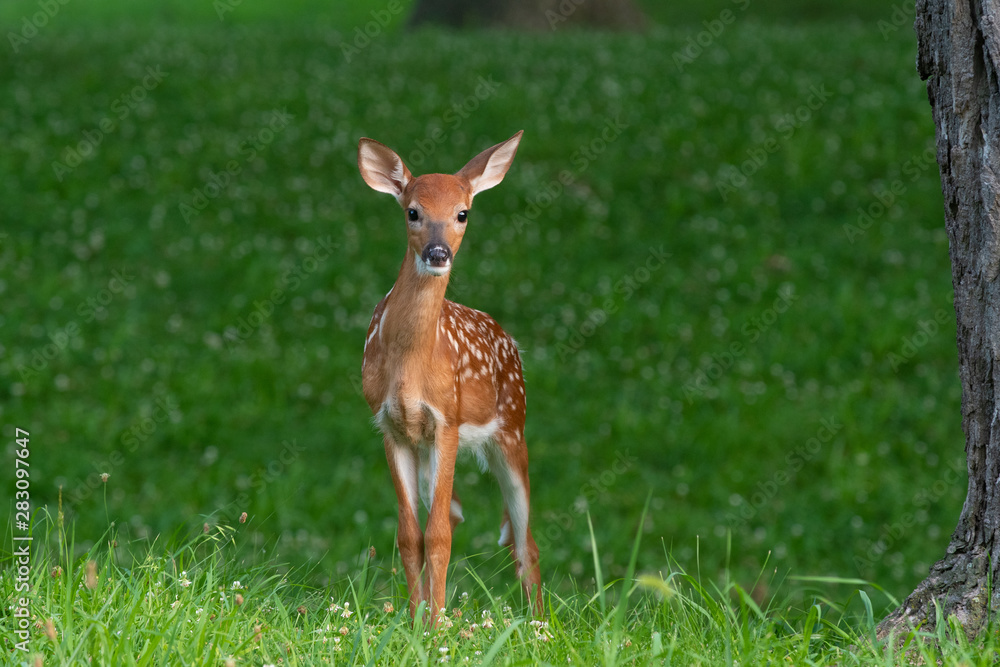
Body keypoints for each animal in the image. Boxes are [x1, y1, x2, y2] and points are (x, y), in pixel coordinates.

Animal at [357, 130, 542, 622]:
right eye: (412, 211)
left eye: (463, 213)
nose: (437, 253)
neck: (411, 368)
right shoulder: (390, 424)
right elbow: (410, 536)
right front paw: (414, 620)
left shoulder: (448, 420)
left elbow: (437, 535)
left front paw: (436, 627)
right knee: (462, 517)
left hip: (513, 429)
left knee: (525, 540)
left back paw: (539, 622)